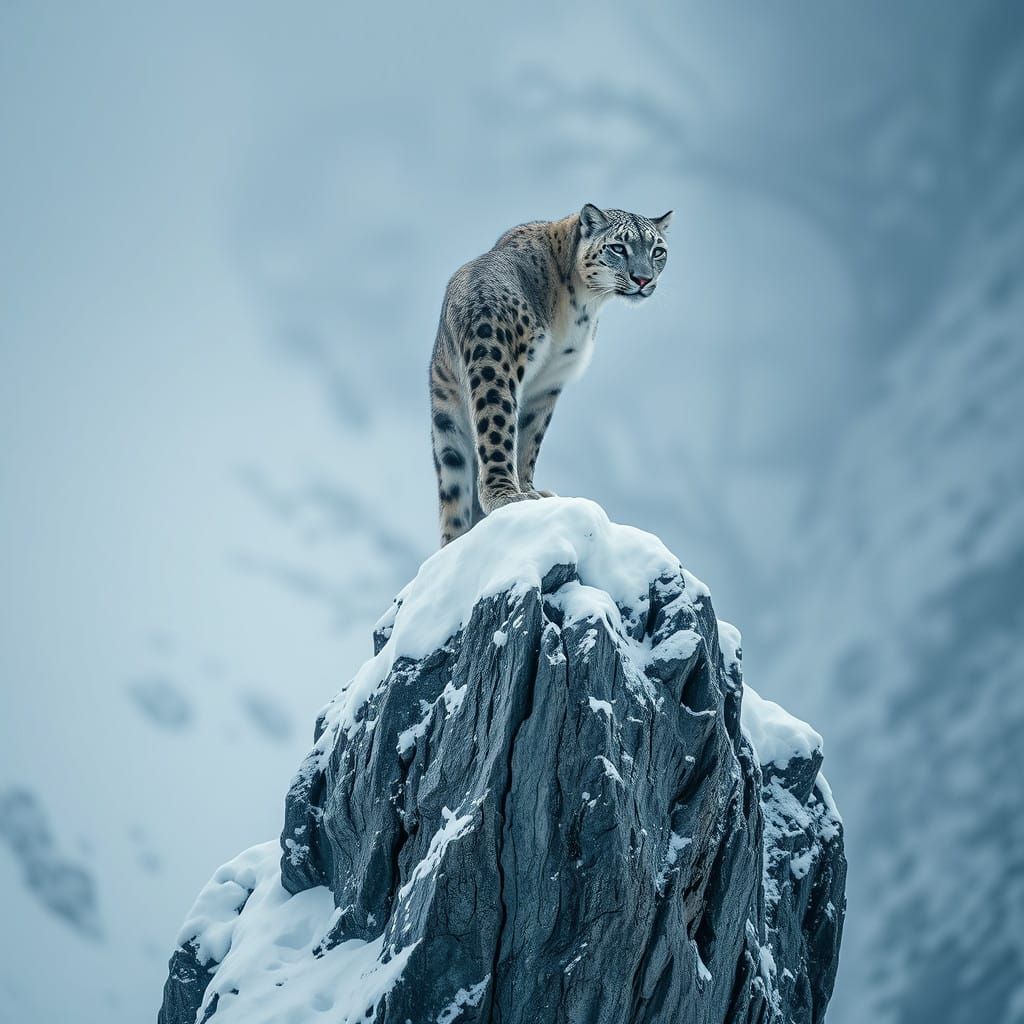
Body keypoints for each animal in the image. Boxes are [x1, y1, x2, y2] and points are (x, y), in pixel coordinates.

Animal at [428, 203, 672, 546]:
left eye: (658, 250)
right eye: (618, 247)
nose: (642, 278)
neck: (581, 306)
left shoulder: (546, 385)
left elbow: (529, 441)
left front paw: (532, 490)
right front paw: (521, 495)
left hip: (447, 423)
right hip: (494, 366)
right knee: (495, 429)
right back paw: (505, 496)